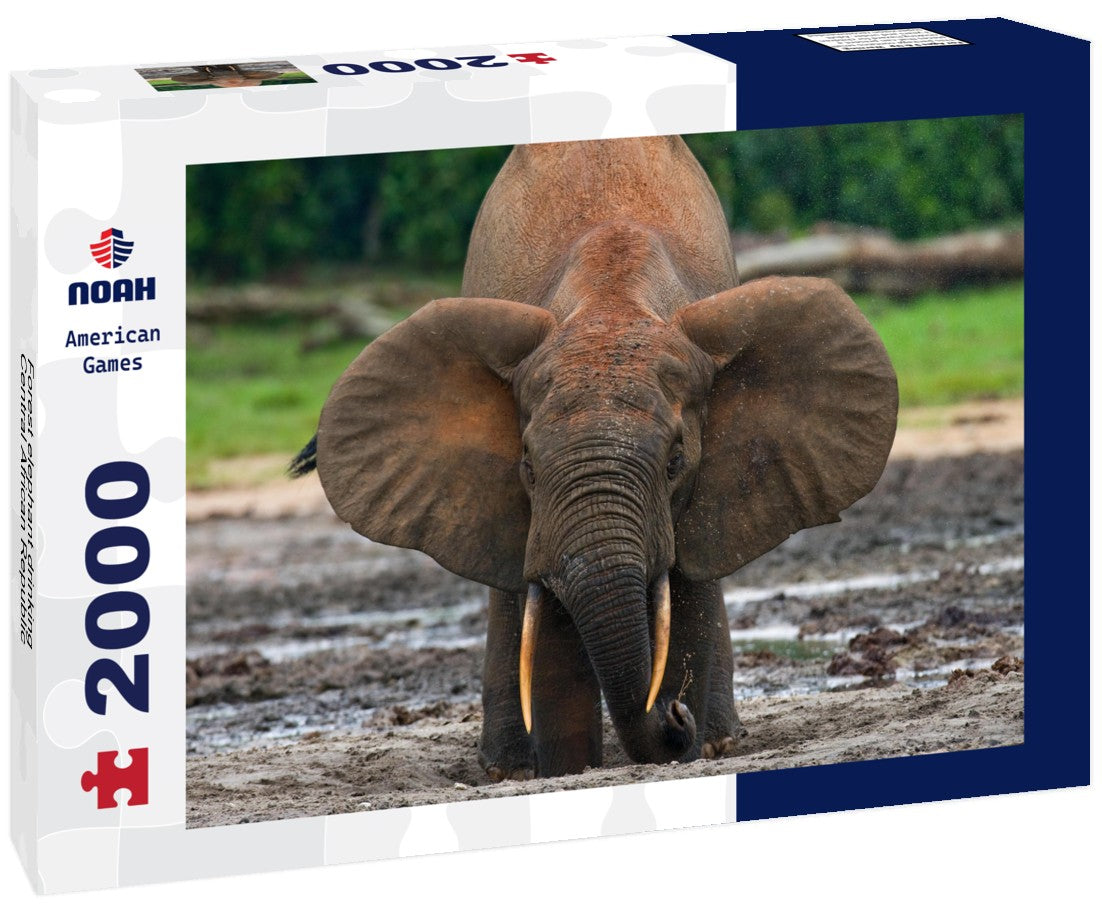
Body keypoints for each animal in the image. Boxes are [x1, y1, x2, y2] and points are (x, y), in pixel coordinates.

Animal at [293, 136, 898, 780]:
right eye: (528, 468)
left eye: (675, 463)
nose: (675, 712)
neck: (613, 302)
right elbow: (550, 625)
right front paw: (567, 771)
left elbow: (685, 586)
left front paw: (689, 742)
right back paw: (508, 769)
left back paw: (719, 739)